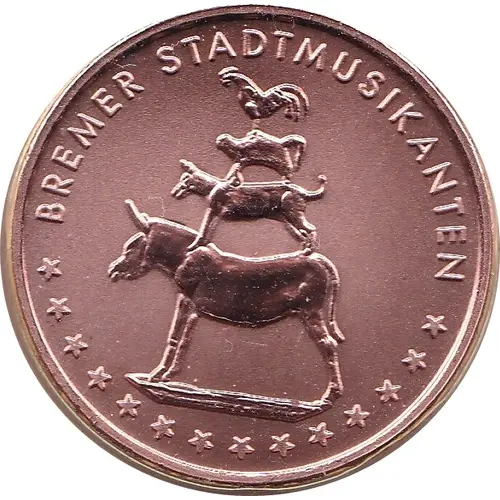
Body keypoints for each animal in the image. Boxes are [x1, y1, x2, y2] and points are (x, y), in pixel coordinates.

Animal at [108, 200, 345, 401]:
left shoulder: (185, 301)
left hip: (310, 311)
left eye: (131, 247)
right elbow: (184, 340)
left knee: (328, 344)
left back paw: (331, 394)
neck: (185, 257)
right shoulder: (194, 309)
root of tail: (319, 260)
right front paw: (169, 374)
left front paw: (156, 375)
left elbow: (174, 336)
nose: (113, 270)